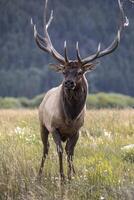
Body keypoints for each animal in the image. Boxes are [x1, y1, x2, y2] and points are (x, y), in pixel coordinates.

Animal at [30, 0, 128, 180]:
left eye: (80, 72)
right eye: (63, 71)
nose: (68, 83)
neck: (70, 117)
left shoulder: (77, 131)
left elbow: (71, 153)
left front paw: (71, 177)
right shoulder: (54, 127)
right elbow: (59, 151)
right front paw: (62, 178)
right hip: (42, 124)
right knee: (45, 149)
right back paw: (39, 175)